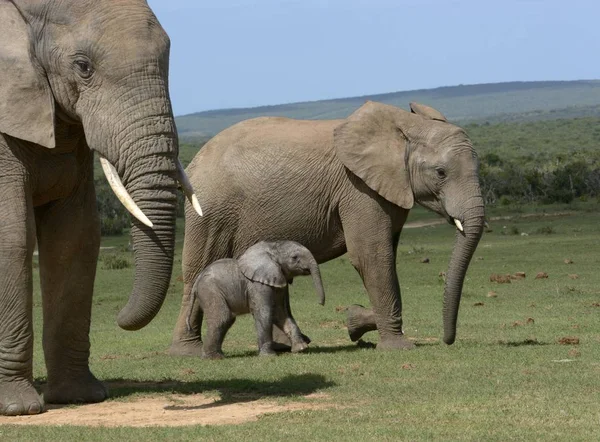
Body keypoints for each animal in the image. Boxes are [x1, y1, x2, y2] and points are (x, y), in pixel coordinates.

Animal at [0, 0, 202, 416]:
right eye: (83, 67)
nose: (121, 318)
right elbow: (11, 236)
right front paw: (19, 409)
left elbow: (76, 237)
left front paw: (80, 397)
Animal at [190, 242, 326, 360]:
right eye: (294, 257)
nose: (320, 303)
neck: (272, 249)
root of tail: (197, 280)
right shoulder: (258, 285)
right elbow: (265, 313)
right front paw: (268, 356)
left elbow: (281, 313)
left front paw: (301, 349)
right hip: (210, 291)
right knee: (222, 318)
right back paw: (213, 358)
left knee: (227, 320)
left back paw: (218, 355)